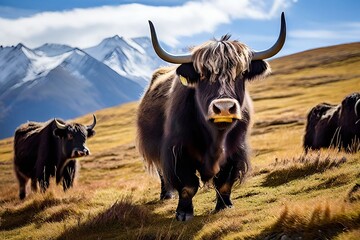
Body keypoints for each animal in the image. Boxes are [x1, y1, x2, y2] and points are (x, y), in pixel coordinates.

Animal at [136, 12, 286, 219]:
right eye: (202, 75)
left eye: (241, 73)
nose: (224, 108)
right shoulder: (177, 150)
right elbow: (188, 185)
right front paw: (183, 213)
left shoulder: (234, 151)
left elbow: (224, 182)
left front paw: (224, 206)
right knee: (162, 173)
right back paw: (167, 195)